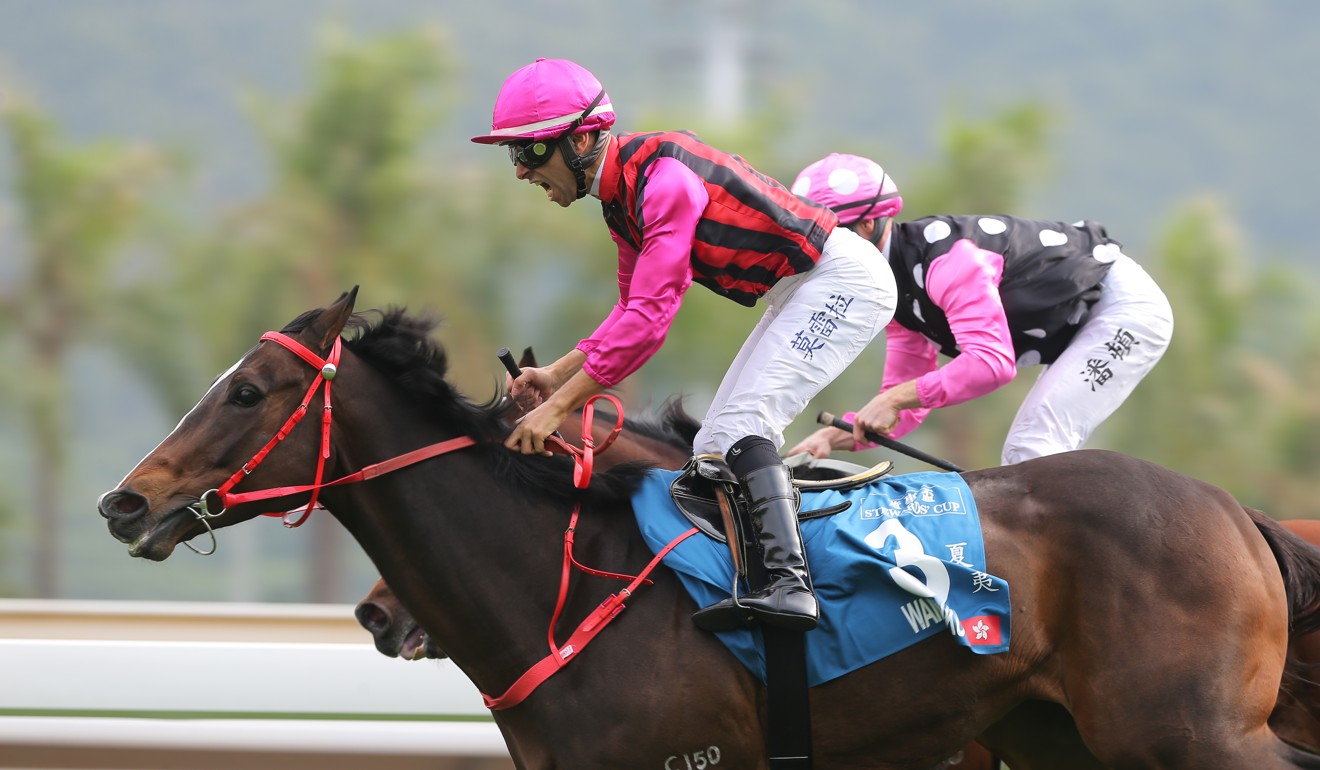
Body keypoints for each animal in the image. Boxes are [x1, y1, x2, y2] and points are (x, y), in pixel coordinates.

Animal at [97, 290, 1320, 770]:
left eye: (248, 391)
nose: (126, 502)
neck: (565, 581)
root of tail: (1233, 510)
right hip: (1064, 734)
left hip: (1189, 731)